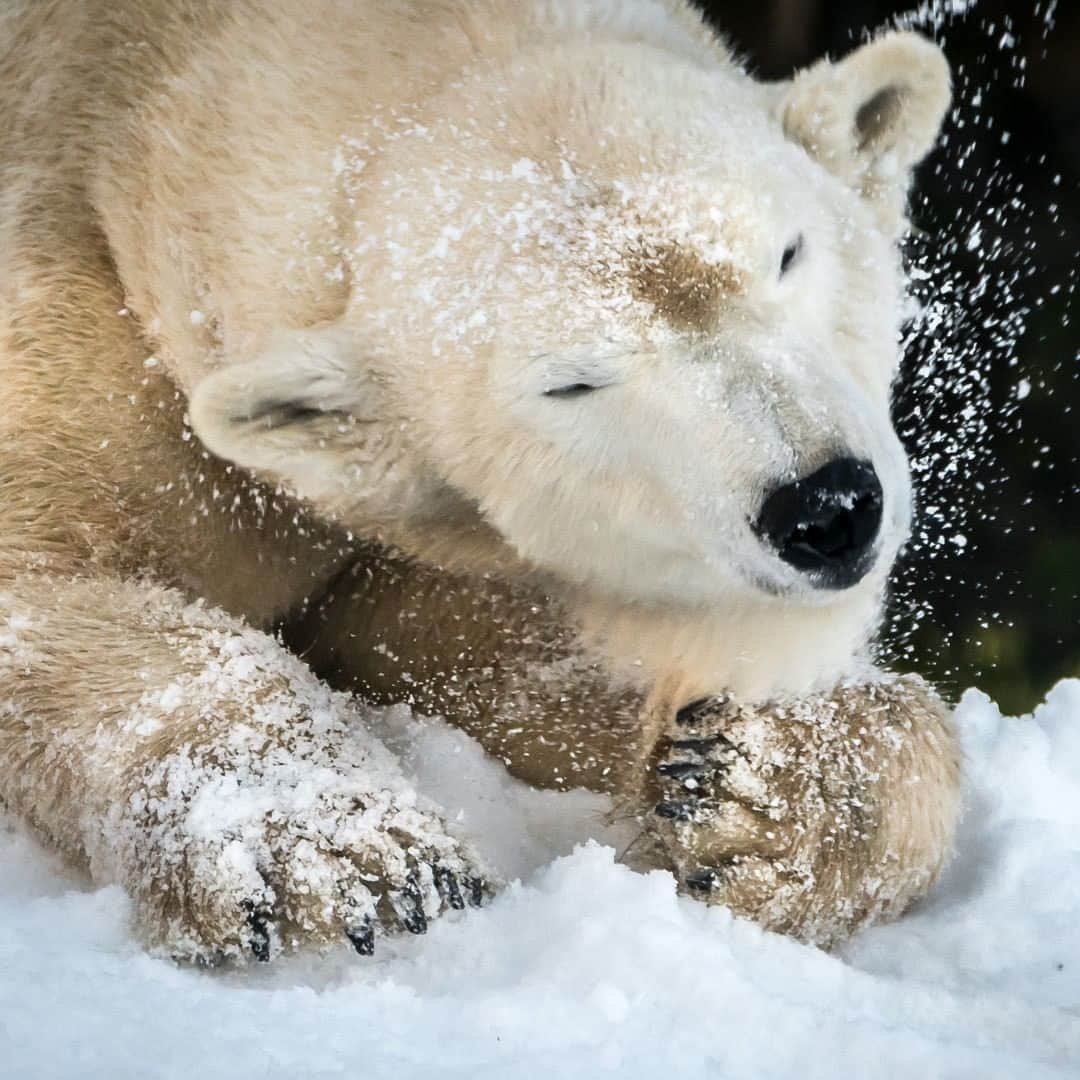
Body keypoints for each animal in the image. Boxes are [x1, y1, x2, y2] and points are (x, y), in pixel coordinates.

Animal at [0, 0, 963, 963]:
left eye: (789, 254)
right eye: (570, 383)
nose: (826, 507)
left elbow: (483, 653)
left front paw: (755, 789)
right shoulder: (67, 305)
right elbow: (50, 591)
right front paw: (354, 858)